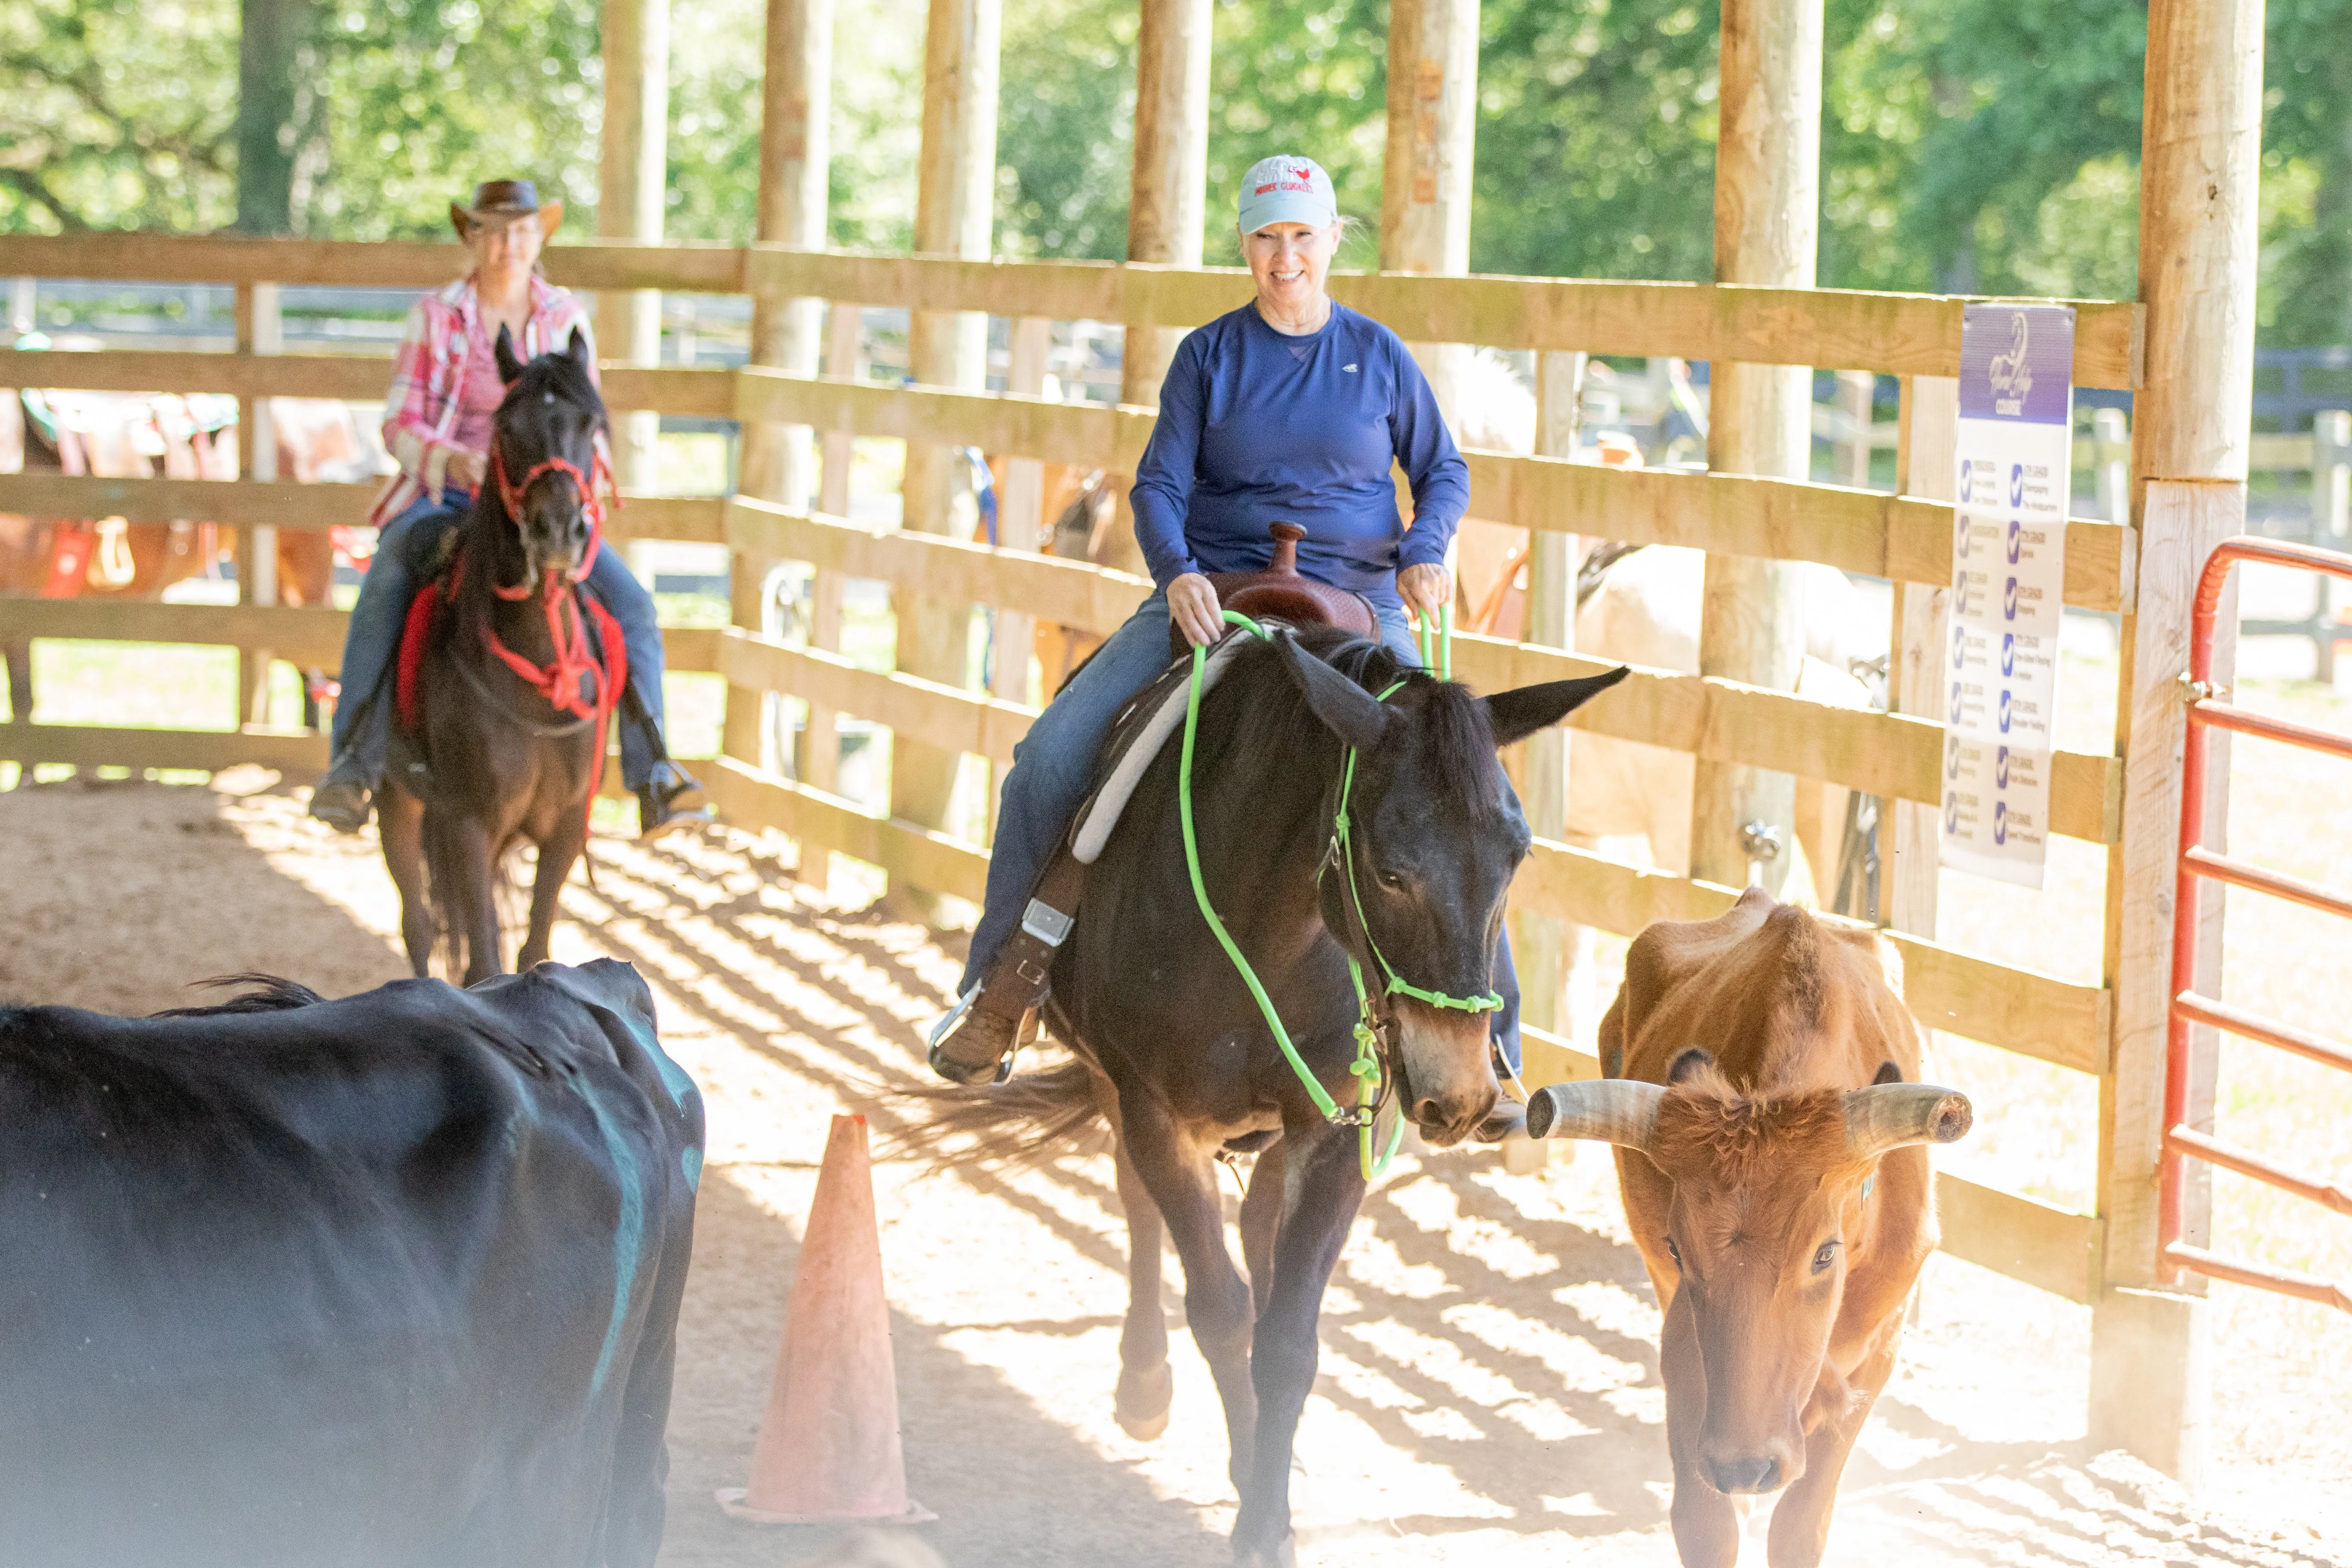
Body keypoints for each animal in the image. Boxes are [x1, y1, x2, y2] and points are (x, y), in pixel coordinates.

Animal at [383, 329, 616, 992]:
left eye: (590, 423)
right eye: (507, 426)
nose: (557, 529)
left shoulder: (565, 828)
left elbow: (535, 946)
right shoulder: (468, 825)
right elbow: (482, 960)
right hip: (397, 804)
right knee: (418, 926)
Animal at [908, 630, 1627, 1568]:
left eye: (1518, 856)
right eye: (1389, 871)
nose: (1459, 1091)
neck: (1270, 930)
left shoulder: (1341, 1129)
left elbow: (1287, 1338)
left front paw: (1267, 1506)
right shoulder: (1154, 1110)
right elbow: (1218, 1307)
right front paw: (1251, 1503)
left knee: (1256, 1232)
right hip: (1116, 1085)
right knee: (1141, 1206)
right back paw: (1146, 1383)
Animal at [1524, 889, 1966, 1561]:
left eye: (1825, 1253)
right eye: (1678, 1251)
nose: (1745, 1465)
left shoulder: (1878, 1354)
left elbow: (1800, 1527)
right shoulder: (1684, 1348)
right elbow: (1704, 1523)